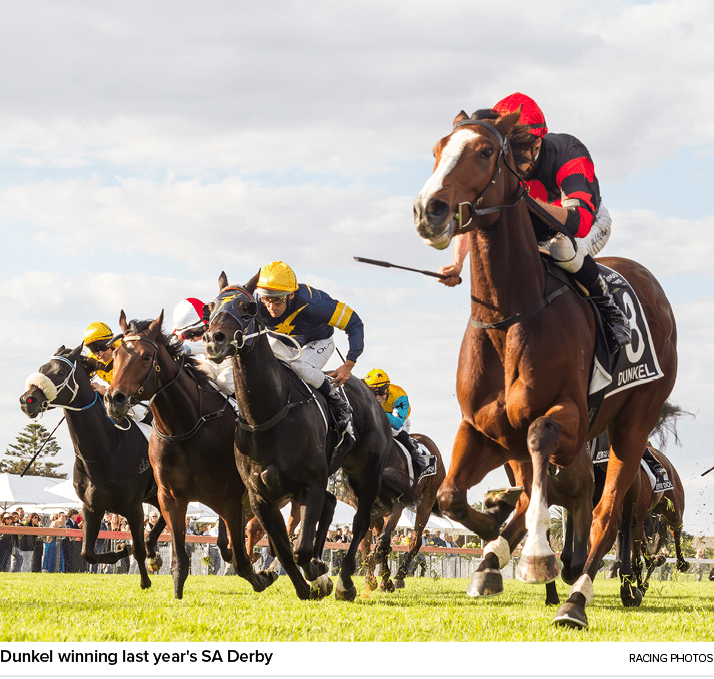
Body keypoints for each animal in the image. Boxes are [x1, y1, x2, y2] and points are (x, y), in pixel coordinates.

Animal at [19, 346, 165, 588]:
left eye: (60, 372)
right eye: (42, 368)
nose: (26, 400)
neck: (106, 451)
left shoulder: (133, 507)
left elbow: (138, 550)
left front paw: (145, 581)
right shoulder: (91, 507)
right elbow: (87, 553)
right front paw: (121, 550)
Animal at [202, 270, 394, 600]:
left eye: (247, 308)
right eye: (210, 307)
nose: (215, 340)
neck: (267, 416)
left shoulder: (310, 485)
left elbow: (300, 549)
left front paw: (319, 573)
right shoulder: (261, 497)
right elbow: (281, 547)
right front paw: (300, 582)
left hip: (366, 473)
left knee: (361, 523)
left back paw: (345, 582)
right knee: (332, 508)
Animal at [412, 110, 672, 628]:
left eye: (485, 152)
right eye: (437, 149)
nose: (430, 209)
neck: (509, 317)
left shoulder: (566, 419)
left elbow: (541, 450)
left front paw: (532, 554)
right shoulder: (482, 428)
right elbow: (452, 495)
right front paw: (493, 541)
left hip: (634, 423)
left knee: (606, 512)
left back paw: (575, 599)